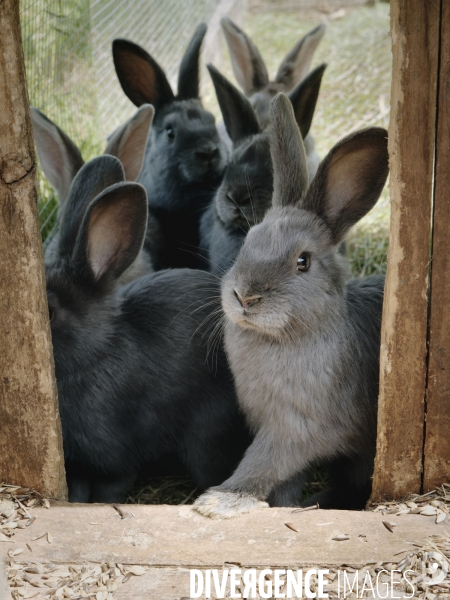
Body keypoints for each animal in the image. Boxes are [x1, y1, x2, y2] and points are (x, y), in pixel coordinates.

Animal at [47, 154, 251, 502]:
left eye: (48, 312)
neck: (95, 354)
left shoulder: (115, 461)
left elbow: (110, 491)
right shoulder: (77, 467)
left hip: (206, 443)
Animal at [195, 95, 388, 520]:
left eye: (303, 261)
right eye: (249, 239)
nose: (244, 297)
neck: (282, 338)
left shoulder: (294, 429)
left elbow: (261, 464)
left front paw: (217, 503)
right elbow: (284, 480)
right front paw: (281, 506)